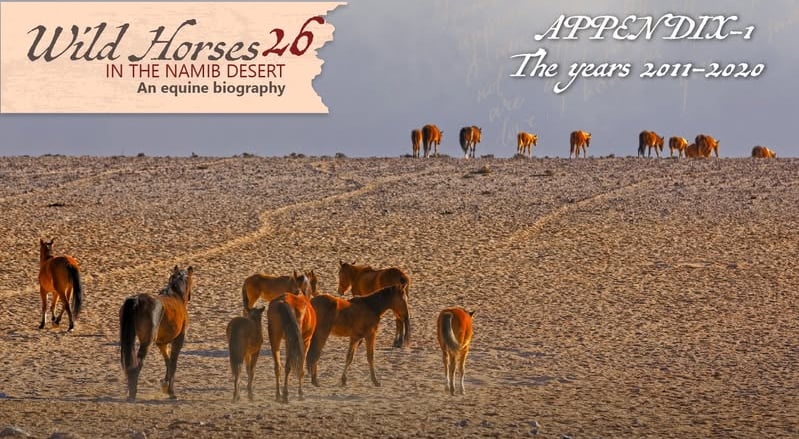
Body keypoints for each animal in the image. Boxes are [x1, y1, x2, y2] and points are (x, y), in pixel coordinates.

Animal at [119, 265, 194, 402]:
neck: (175, 296)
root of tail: (137, 300)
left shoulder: (161, 343)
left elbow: (167, 361)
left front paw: (165, 384)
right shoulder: (179, 340)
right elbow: (173, 363)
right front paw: (171, 392)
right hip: (147, 342)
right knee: (137, 365)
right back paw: (133, 394)